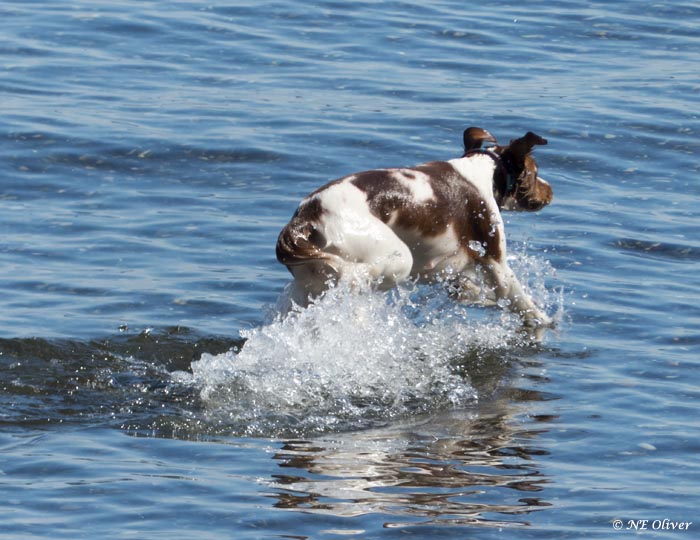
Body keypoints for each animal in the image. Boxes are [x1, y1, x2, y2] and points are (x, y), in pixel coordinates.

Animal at [276, 127, 556, 324]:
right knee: (355, 275)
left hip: (305, 286)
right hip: (395, 258)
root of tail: (307, 217)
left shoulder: (437, 266)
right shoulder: (495, 261)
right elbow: (520, 301)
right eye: (535, 171)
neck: (482, 171)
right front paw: (547, 322)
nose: (551, 190)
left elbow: (469, 291)